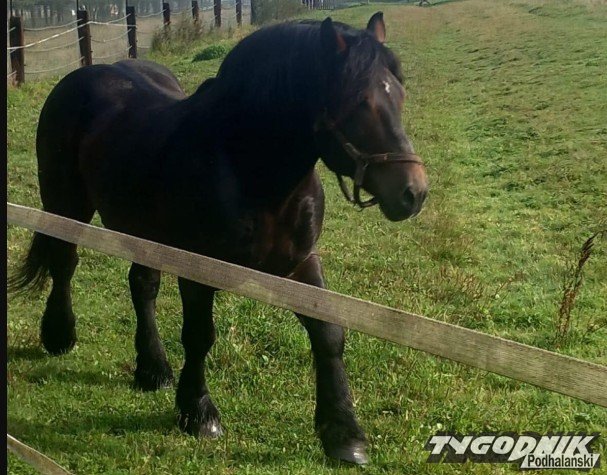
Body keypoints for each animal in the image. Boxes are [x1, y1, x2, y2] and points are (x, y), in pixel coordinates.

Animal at [10, 12, 428, 464]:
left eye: (400, 96)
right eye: (358, 103)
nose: (413, 192)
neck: (247, 166)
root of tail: (80, 76)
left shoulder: (300, 263)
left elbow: (328, 333)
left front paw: (343, 434)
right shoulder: (198, 269)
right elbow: (199, 336)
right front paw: (198, 413)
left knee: (142, 286)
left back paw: (152, 369)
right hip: (66, 205)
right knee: (64, 263)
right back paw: (59, 335)